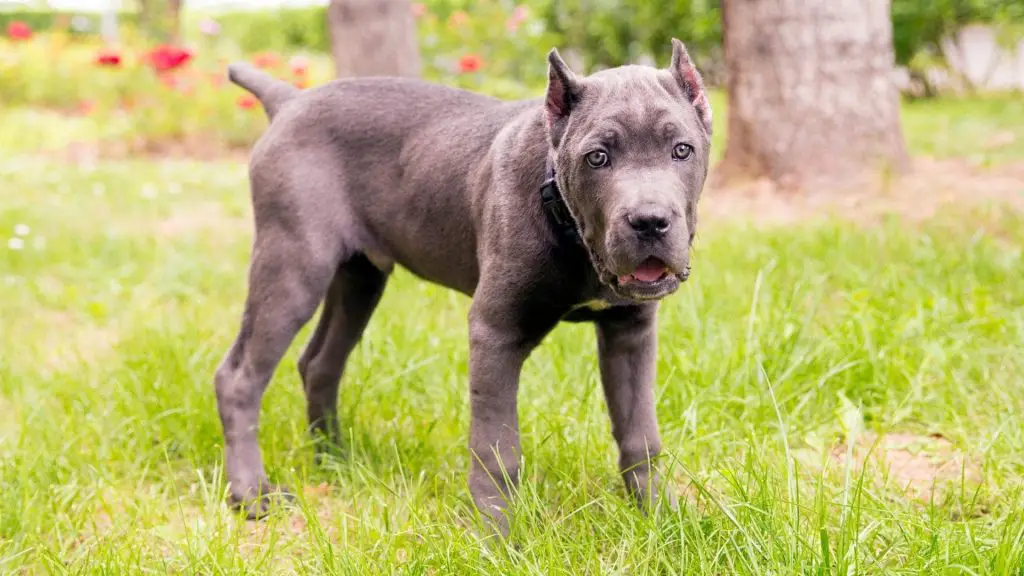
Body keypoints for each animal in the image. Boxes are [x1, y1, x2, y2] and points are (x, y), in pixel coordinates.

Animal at [216, 39, 712, 532]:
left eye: (681, 150)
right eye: (598, 158)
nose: (649, 220)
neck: (562, 212)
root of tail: (289, 101)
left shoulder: (630, 331)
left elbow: (639, 432)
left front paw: (659, 516)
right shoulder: (495, 331)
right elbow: (497, 449)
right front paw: (498, 532)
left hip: (359, 277)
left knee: (319, 363)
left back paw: (336, 461)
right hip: (293, 262)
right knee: (239, 377)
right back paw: (252, 494)